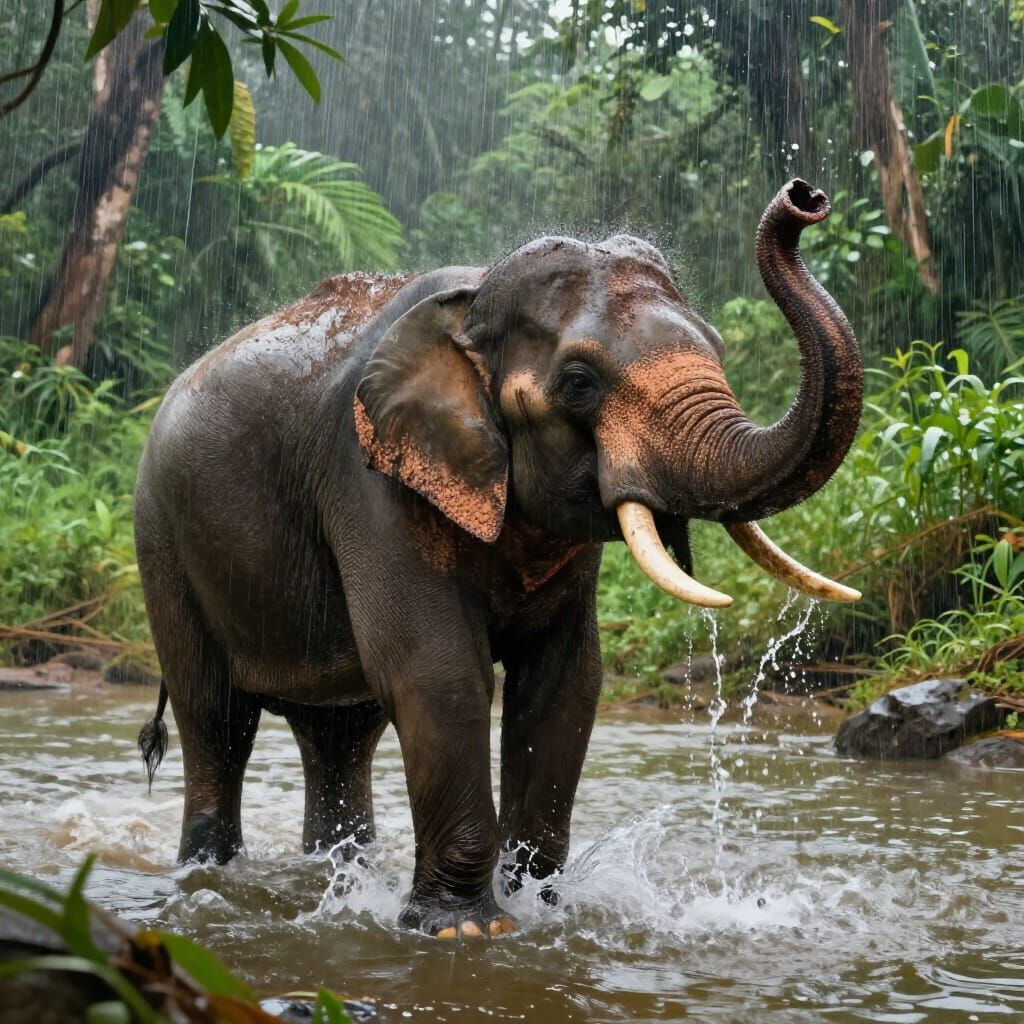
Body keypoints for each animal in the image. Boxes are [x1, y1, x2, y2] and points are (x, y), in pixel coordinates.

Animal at [134, 178, 862, 939]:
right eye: (579, 382)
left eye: (718, 346)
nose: (805, 196)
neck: (473, 304)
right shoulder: (370, 480)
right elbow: (438, 672)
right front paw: (465, 929)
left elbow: (566, 681)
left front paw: (541, 906)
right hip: (162, 538)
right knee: (218, 719)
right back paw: (209, 873)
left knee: (340, 734)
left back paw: (340, 874)